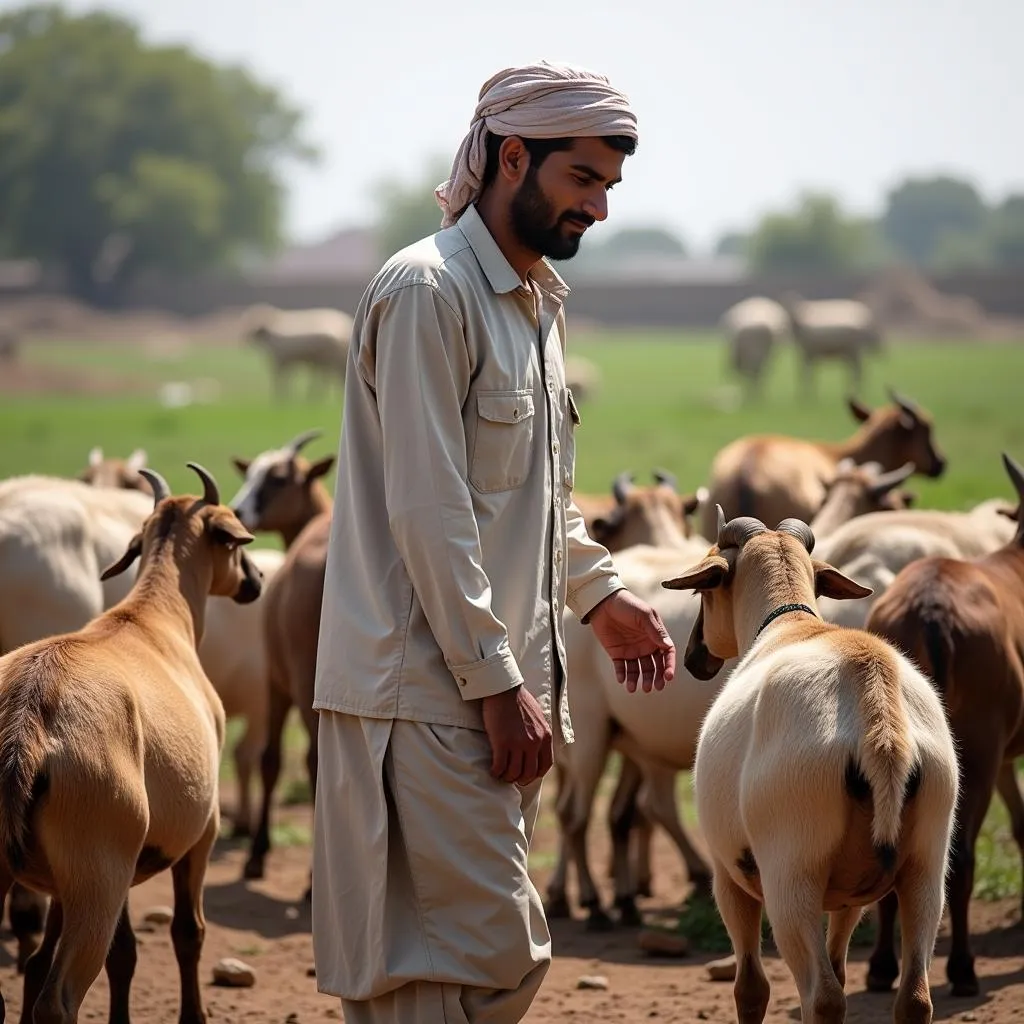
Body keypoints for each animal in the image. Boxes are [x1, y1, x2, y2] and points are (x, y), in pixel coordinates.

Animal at [0, 466, 266, 1024]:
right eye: (233, 544)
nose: (256, 580)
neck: (151, 619)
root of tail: (27, 712)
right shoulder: (202, 831)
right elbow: (188, 933)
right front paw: (194, 1015)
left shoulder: (97, 870)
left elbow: (115, 955)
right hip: (97, 876)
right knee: (58, 999)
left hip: (59, 871)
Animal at [663, 509, 958, 1024]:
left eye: (705, 590)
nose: (695, 656)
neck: (790, 622)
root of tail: (875, 702)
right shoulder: (848, 896)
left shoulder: (728, 877)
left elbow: (751, 988)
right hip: (926, 867)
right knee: (914, 997)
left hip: (790, 877)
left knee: (821, 997)